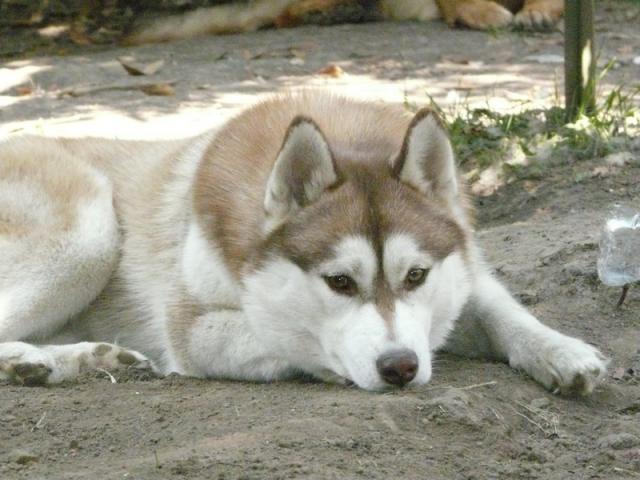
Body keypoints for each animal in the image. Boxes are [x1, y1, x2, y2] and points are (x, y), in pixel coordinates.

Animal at [0, 91, 604, 394]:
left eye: (416, 276)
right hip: (90, 234)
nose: (401, 367)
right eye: (339, 282)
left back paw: (77, 360)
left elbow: (501, 311)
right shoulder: (190, 324)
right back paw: (35, 362)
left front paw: (562, 351)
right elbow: (287, 337)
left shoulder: (462, 274)